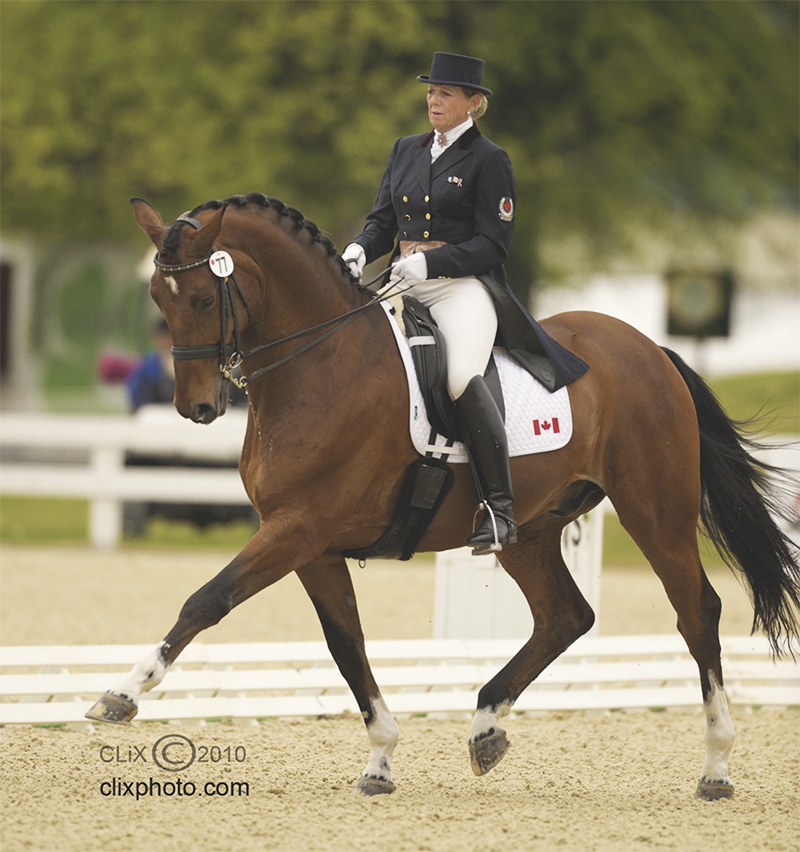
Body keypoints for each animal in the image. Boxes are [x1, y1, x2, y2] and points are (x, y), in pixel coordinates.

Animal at [86, 192, 800, 800]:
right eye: (158, 299)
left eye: (204, 299)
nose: (197, 408)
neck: (321, 364)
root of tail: (652, 348)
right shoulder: (311, 544)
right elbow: (346, 644)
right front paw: (380, 758)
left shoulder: (297, 528)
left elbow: (207, 600)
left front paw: (123, 694)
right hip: (530, 529)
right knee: (566, 616)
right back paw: (485, 726)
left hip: (656, 511)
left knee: (696, 612)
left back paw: (716, 766)